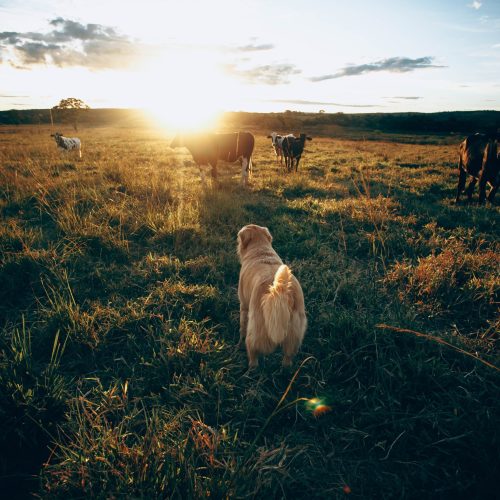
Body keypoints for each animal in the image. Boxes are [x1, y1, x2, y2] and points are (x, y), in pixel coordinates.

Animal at [237, 224, 306, 368]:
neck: (261, 249)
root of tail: (279, 290)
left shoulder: (244, 305)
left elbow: (242, 326)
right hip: (295, 332)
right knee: (288, 357)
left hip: (256, 328)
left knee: (253, 352)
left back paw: (251, 368)